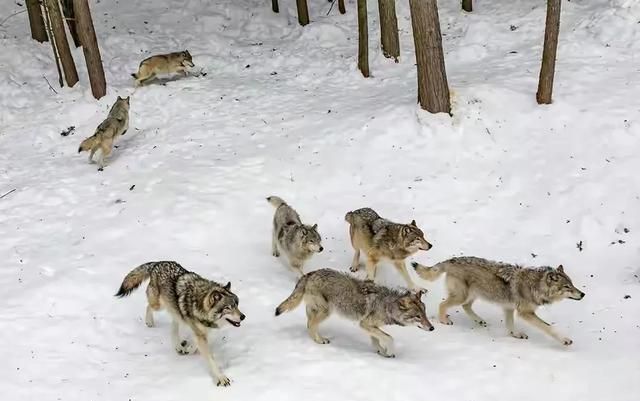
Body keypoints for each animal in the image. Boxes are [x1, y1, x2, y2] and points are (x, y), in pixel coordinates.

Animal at [115, 260, 245, 384]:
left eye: (237, 304)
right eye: (228, 308)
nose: (243, 316)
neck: (199, 304)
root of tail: (158, 263)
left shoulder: (203, 332)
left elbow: (195, 344)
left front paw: (188, 349)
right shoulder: (200, 333)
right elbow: (210, 359)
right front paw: (221, 378)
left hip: (173, 309)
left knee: (174, 324)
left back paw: (178, 346)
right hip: (159, 305)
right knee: (149, 307)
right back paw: (150, 322)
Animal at [276, 268, 436, 356]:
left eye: (425, 315)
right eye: (418, 316)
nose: (432, 328)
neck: (386, 305)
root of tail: (310, 273)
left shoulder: (369, 326)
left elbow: (377, 339)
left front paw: (381, 351)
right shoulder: (364, 324)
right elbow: (389, 338)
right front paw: (390, 352)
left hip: (317, 310)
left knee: (309, 323)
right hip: (326, 311)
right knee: (311, 325)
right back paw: (320, 340)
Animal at [416, 258, 584, 346]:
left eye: (572, 284)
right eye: (567, 287)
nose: (583, 294)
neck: (536, 286)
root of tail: (451, 260)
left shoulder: (508, 308)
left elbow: (510, 326)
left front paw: (515, 335)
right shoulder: (525, 313)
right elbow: (549, 327)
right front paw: (565, 340)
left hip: (471, 296)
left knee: (466, 307)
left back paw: (479, 320)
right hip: (462, 296)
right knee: (443, 305)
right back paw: (444, 320)